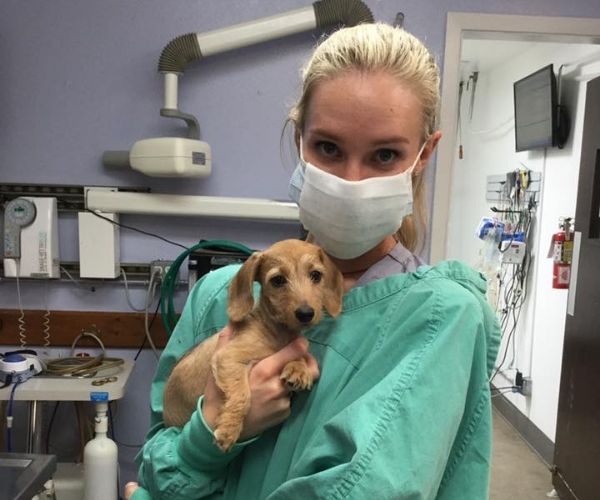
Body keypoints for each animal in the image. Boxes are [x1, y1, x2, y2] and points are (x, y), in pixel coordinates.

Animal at [162, 237, 344, 450]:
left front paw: (298, 368)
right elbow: (242, 395)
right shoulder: (228, 358)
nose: (306, 313)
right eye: (278, 280)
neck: (275, 331)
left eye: (316, 275)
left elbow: (297, 355)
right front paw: (229, 428)